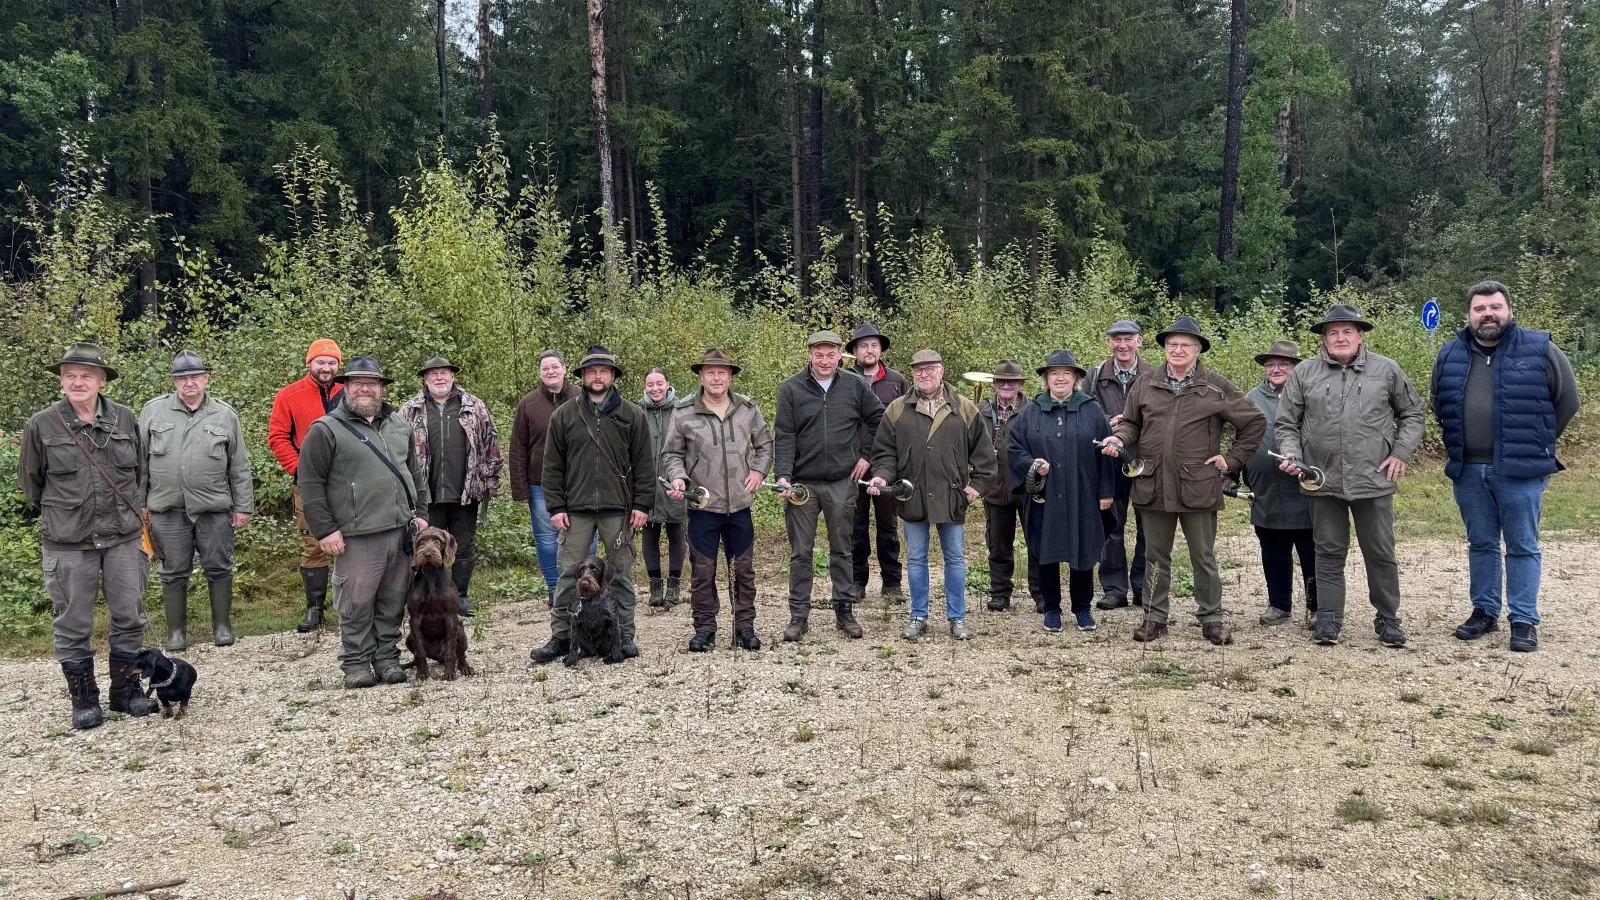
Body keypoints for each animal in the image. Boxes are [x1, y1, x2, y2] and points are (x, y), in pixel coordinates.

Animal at [403, 525, 470, 679]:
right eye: (421, 542)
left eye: (438, 541)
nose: (427, 554)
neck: (431, 574)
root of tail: (439, 657)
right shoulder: (415, 619)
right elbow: (420, 652)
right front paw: (422, 671)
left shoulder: (451, 617)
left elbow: (451, 650)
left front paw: (450, 672)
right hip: (409, 638)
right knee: (416, 653)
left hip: (461, 631)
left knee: (461, 654)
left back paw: (465, 667)